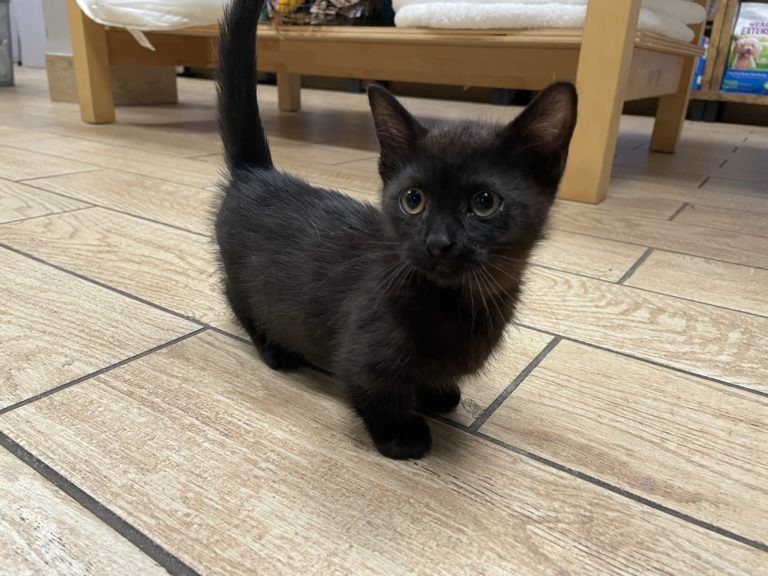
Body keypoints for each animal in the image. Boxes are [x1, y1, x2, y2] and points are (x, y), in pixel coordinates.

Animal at [214, 0, 576, 460]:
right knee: (238, 301)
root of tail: (257, 173)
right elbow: (372, 391)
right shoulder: (363, 353)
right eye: (413, 199)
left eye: (484, 203)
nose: (437, 242)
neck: (458, 302)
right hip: (244, 281)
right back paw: (275, 348)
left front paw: (437, 393)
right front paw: (402, 434)